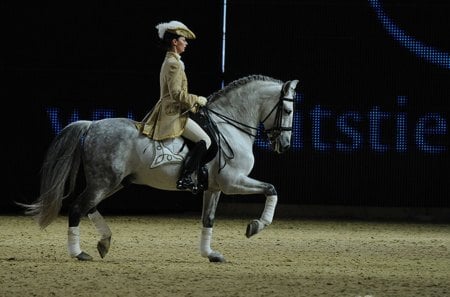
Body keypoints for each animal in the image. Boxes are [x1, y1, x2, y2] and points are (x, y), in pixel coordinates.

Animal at [20, 74, 298, 262]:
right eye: (287, 109)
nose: (284, 145)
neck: (230, 127)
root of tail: (92, 125)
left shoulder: (215, 187)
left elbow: (208, 219)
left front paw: (210, 254)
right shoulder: (234, 181)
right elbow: (272, 189)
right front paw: (256, 226)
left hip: (113, 182)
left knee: (88, 207)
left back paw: (104, 242)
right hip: (104, 182)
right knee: (78, 208)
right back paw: (79, 253)